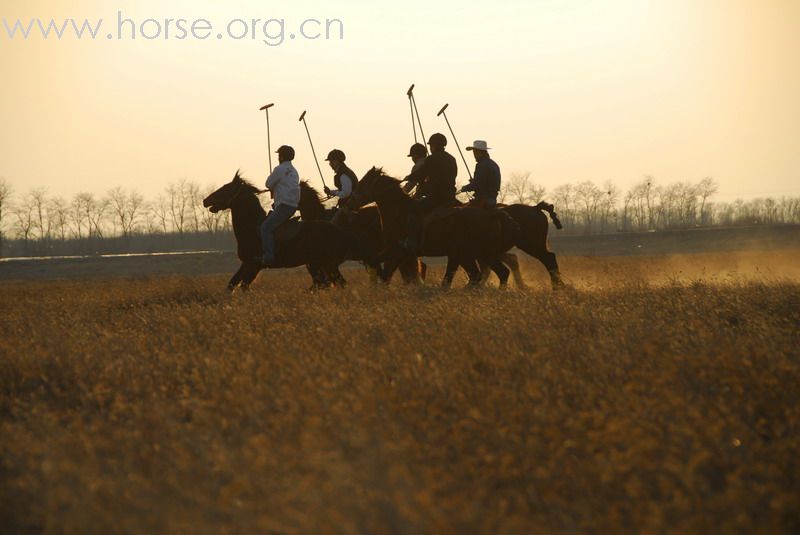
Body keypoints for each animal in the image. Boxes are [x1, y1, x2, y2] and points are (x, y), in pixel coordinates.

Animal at [202, 171, 352, 292]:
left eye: (226, 188)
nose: (205, 200)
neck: (252, 227)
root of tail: (341, 232)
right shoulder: (248, 264)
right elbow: (234, 284)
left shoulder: (253, 264)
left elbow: (241, 285)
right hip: (321, 265)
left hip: (324, 265)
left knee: (334, 283)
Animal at [348, 169, 520, 288]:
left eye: (363, 182)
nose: (349, 202)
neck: (399, 213)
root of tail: (493, 214)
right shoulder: (401, 255)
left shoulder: (395, 251)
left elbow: (385, 271)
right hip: (476, 254)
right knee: (495, 273)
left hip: (476, 254)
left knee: (488, 274)